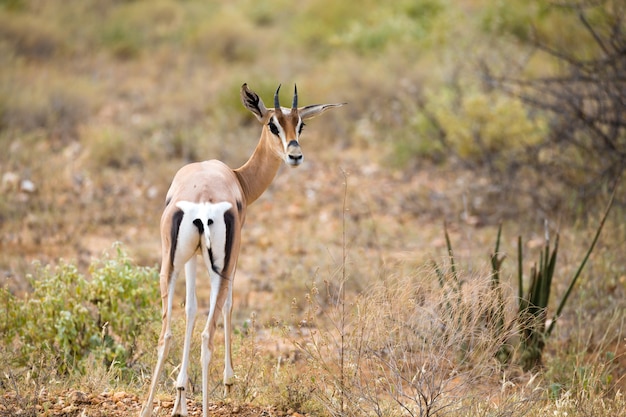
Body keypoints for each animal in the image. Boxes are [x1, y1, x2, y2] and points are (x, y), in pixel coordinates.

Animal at [140, 83, 344, 414]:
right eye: (273, 124)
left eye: (300, 124)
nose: (295, 155)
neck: (237, 177)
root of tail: (202, 204)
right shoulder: (232, 258)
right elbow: (227, 307)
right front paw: (228, 383)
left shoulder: (191, 259)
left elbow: (190, 309)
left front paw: (180, 397)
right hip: (221, 267)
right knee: (208, 333)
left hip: (168, 267)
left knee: (165, 334)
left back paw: (147, 409)